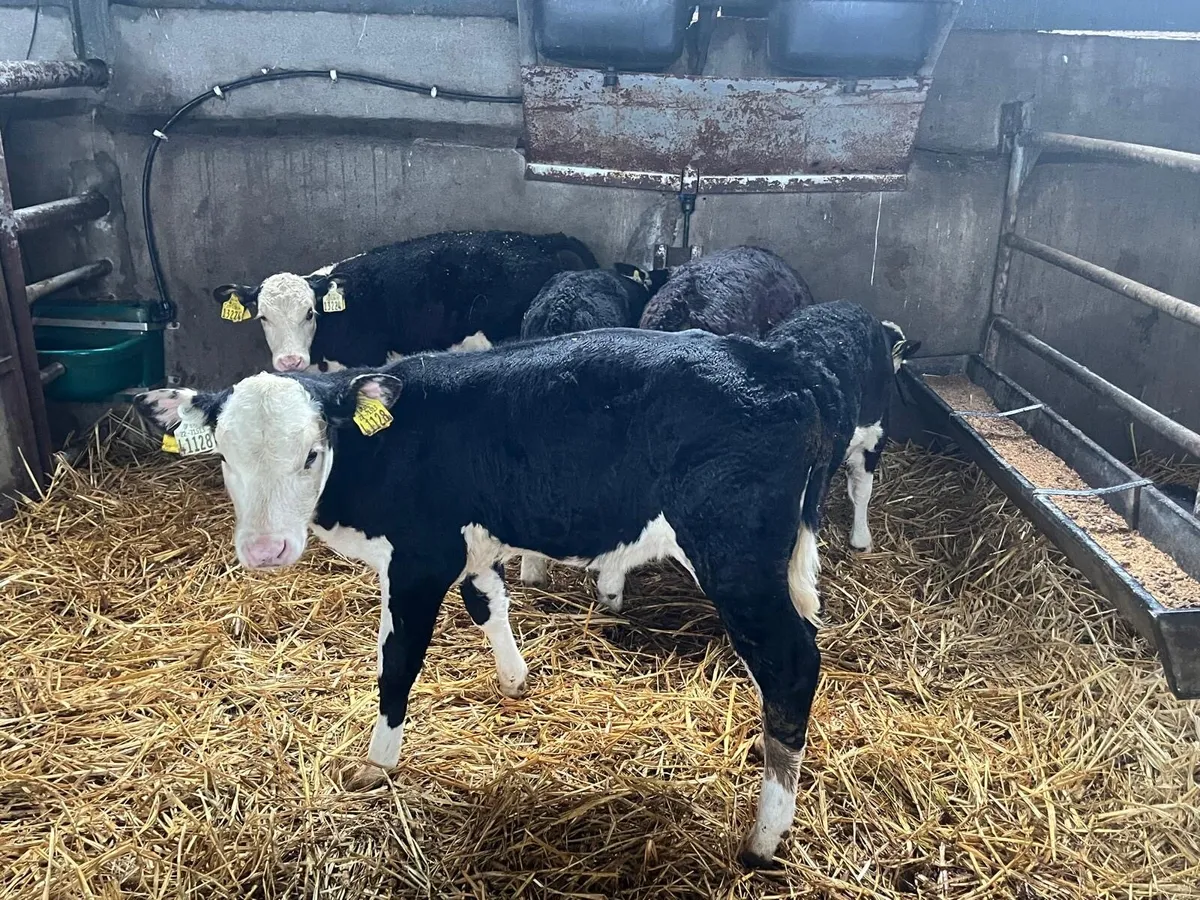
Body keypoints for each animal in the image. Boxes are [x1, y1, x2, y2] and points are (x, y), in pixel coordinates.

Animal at [135, 324, 865, 868]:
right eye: (224, 457)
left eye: (311, 453)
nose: (265, 551)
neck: (381, 449)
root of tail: (780, 362)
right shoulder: (471, 547)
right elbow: (489, 606)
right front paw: (516, 681)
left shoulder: (419, 560)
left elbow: (398, 664)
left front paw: (377, 766)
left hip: (735, 554)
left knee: (791, 664)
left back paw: (765, 837)